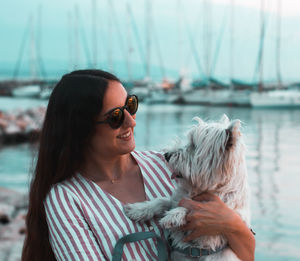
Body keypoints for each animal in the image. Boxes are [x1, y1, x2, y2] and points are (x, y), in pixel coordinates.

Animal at [123, 115, 250, 258]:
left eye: (194, 145)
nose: (166, 155)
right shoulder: (174, 200)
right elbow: (161, 201)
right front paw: (137, 209)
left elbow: (193, 207)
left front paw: (172, 216)